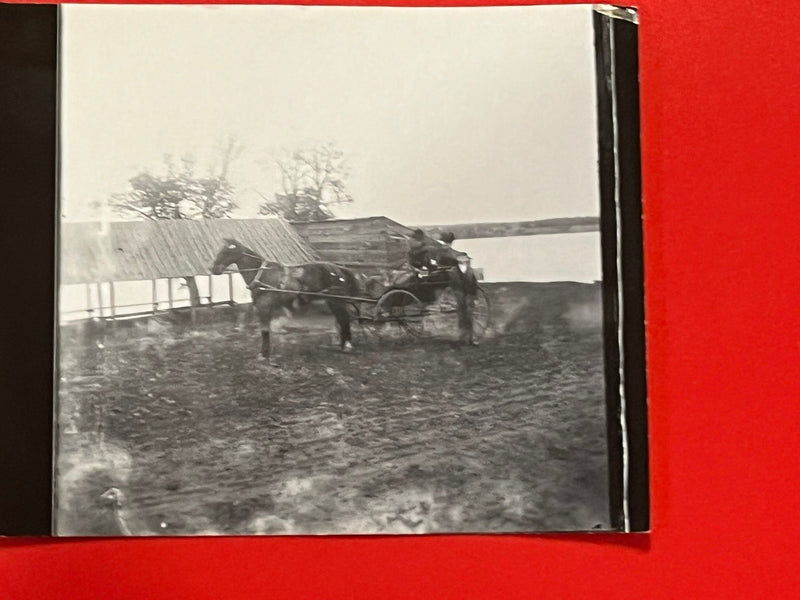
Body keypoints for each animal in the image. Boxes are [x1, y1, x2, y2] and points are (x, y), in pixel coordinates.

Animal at [212, 239, 362, 360]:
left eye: (225, 252)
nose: (213, 269)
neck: (262, 274)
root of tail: (339, 269)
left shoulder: (264, 307)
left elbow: (265, 330)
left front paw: (264, 354)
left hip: (337, 301)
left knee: (344, 319)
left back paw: (347, 345)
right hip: (333, 302)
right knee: (342, 320)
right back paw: (342, 345)